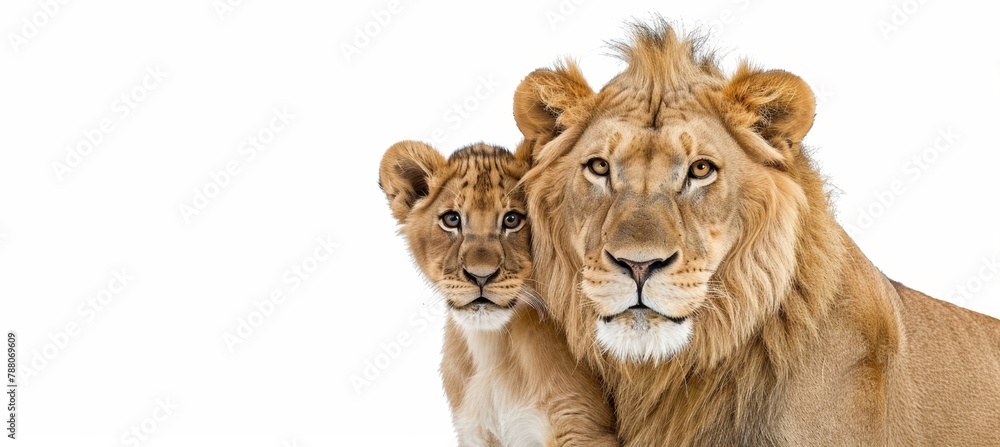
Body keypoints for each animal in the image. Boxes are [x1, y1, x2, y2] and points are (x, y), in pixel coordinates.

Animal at [379, 141, 617, 446]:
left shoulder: (581, 426)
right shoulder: (474, 431)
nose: (481, 276)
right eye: (452, 219)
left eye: (512, 219)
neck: (492, 348)